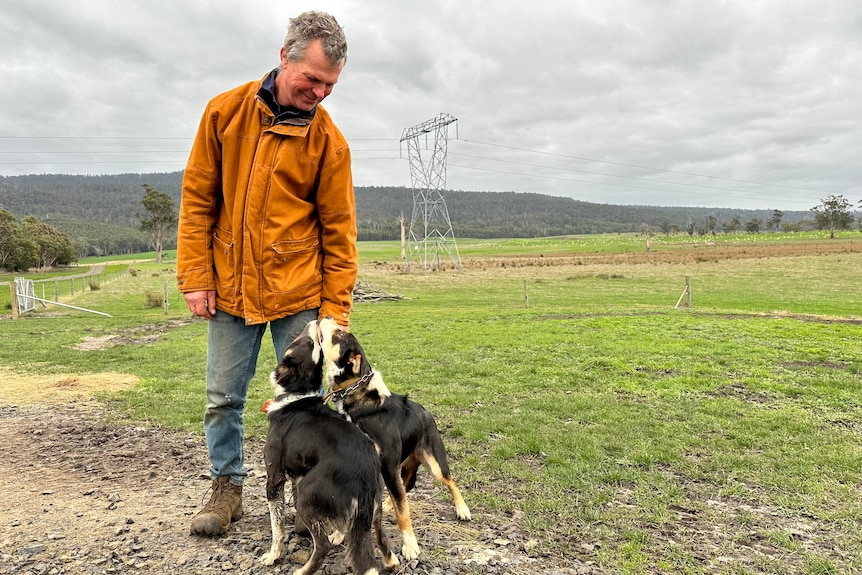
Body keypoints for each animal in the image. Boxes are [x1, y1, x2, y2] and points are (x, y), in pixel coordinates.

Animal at [258, 322, 396, 572]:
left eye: (309, 342)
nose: (313, 322)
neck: (298, 396)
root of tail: (363, 471)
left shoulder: (274, 478)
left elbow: (277, 527)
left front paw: (273, 555)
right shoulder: (298, 474)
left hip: (308, 495)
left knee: (322, 546)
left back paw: (303, 570)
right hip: (375, 507)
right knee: (381, 538)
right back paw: (389, 560)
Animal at [318, 318, 472, 560]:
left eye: (340, 335)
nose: (326, 317)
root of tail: (427, 413)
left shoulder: (388, 467)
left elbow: (403, 513)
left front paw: (410, 545)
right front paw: (340, 533)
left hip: (434, 463)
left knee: (449, 481)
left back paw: (462, 509)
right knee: (404, 485)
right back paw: (390, 502)